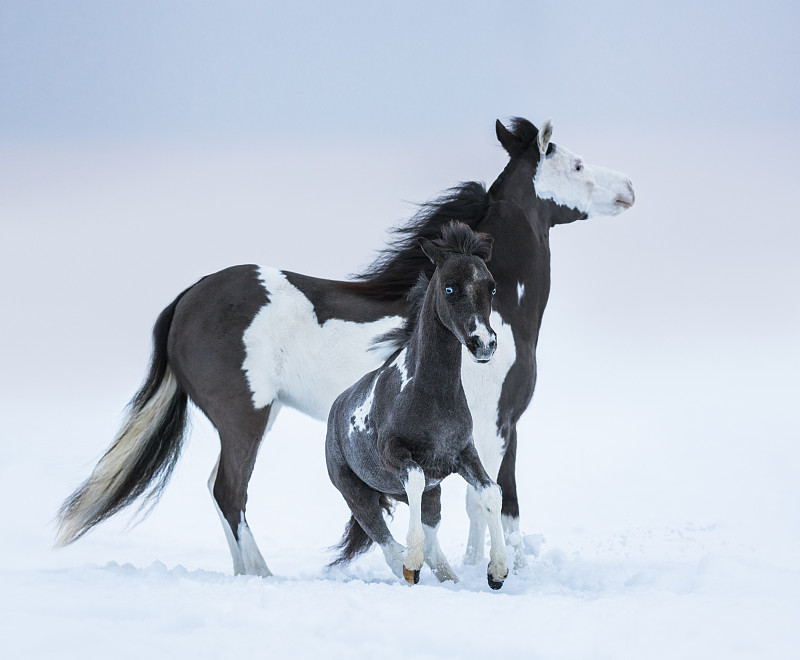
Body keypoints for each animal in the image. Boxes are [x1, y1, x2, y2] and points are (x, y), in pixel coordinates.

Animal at [56, 118, 636, 576]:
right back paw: (263, 576)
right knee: (229, 491)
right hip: (245, 418)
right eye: (577, 164)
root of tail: (188, 297)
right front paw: (482, 570)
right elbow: (484, 500)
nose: (629, 187)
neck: (500, 315)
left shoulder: (502, 426)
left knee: (221, 492)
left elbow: (498, 500)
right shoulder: (494, 424)